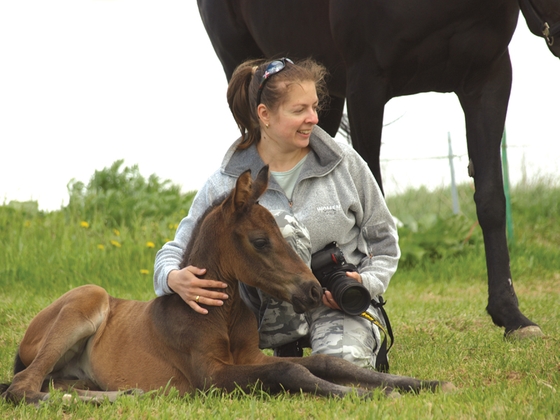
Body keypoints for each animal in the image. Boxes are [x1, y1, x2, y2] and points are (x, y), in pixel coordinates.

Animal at [0, 166, 452, 406]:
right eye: (260, 240)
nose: (310, 290)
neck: (218, 313)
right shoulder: (211, 376)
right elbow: (290, 369)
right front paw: (367, 397)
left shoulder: (249, 356)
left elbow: (327, 364)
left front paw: (422, 384)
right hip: (87, 298)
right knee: (23, 388)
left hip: (75, 370)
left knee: (52, 383)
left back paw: (129, 393)